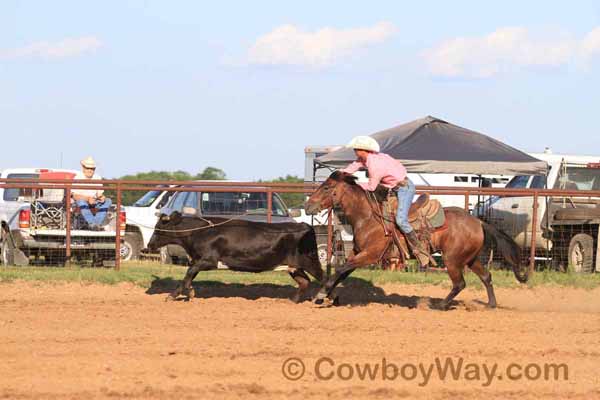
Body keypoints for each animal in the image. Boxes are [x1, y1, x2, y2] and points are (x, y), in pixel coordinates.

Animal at [308, 172, 528, 310]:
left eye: (326, 187)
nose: (308, 205)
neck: (369, 217)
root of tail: (478, 221)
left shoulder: (370, 255)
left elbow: (340, 269)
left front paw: (321, 295)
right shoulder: (357, 253)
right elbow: (342, 272)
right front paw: (328, 296)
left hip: (452, 260)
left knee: (460, 283)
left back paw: (439, 305)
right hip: (470, 259)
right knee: (486, 277)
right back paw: (491, 305)